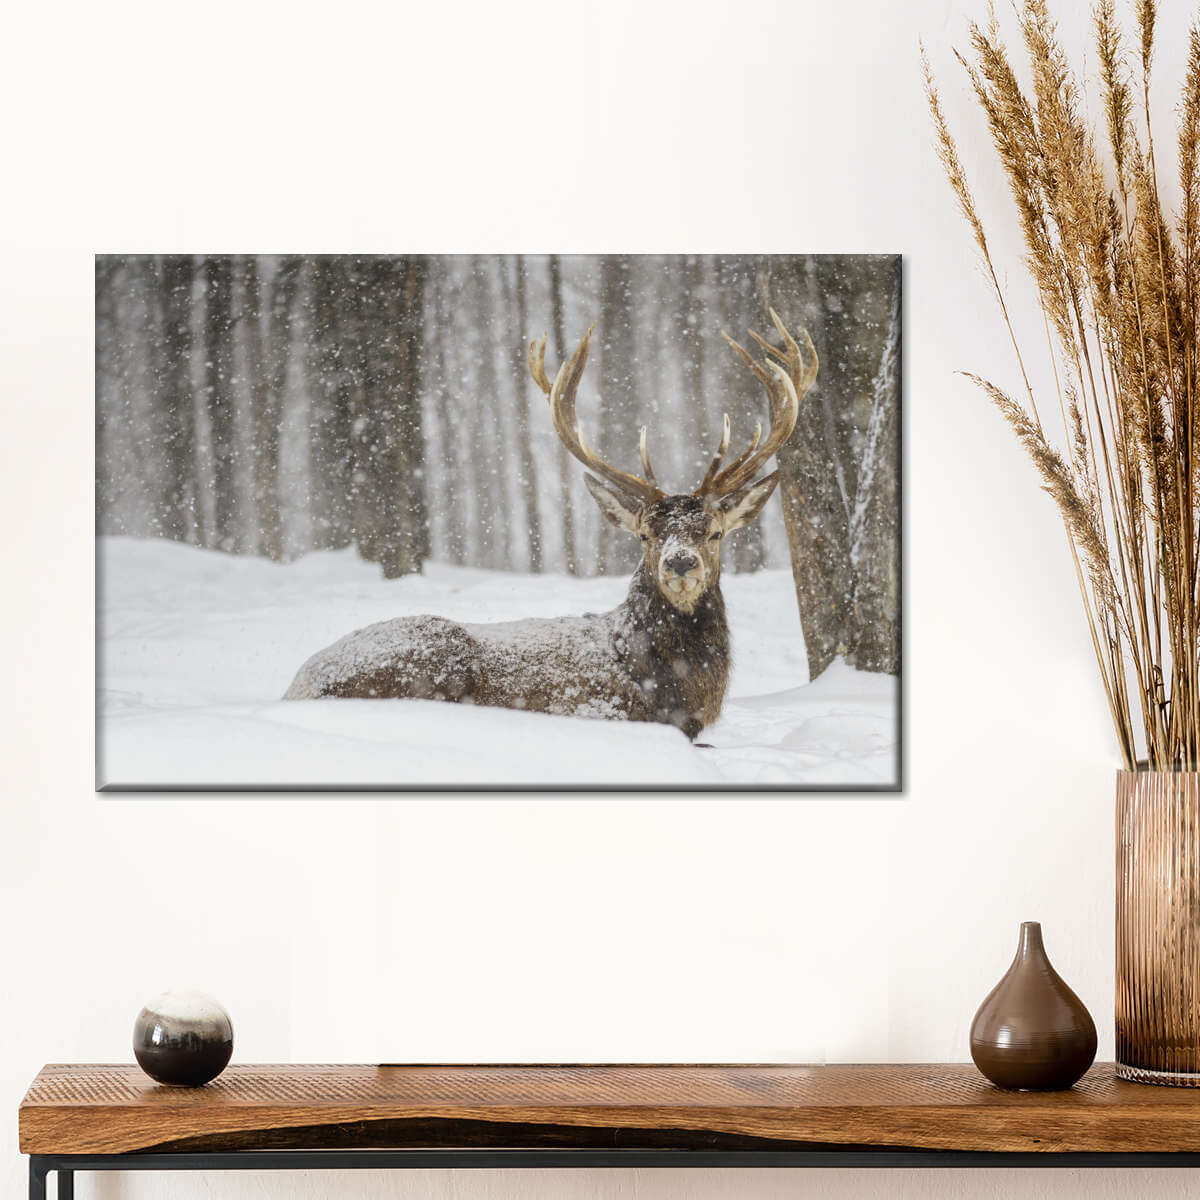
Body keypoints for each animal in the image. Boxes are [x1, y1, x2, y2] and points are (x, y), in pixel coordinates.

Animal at [283, 311, 817, 741]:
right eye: (645, 535)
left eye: (715, 532)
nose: (681, 563)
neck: (676, 690)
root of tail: (297, 686)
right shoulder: (598, 708)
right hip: (430, 656)